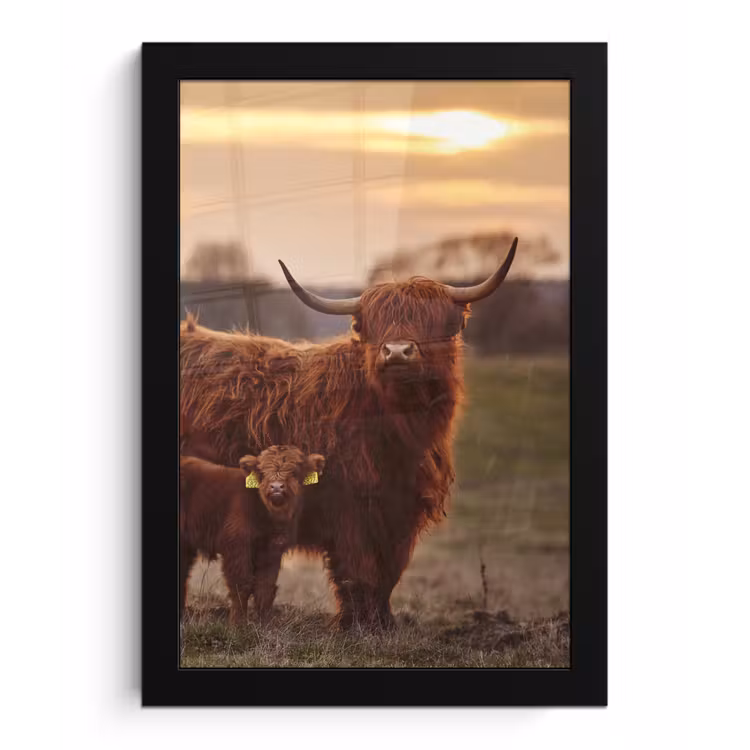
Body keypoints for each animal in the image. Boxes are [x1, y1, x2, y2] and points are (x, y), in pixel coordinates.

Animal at [179, 446, 326, 625]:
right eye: (263, 472)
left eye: (294, 471)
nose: (276, 487)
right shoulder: (237, 546)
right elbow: (241, 585)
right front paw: (237, 625)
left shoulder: (272, 550)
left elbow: (265, 587)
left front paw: (266, 625)